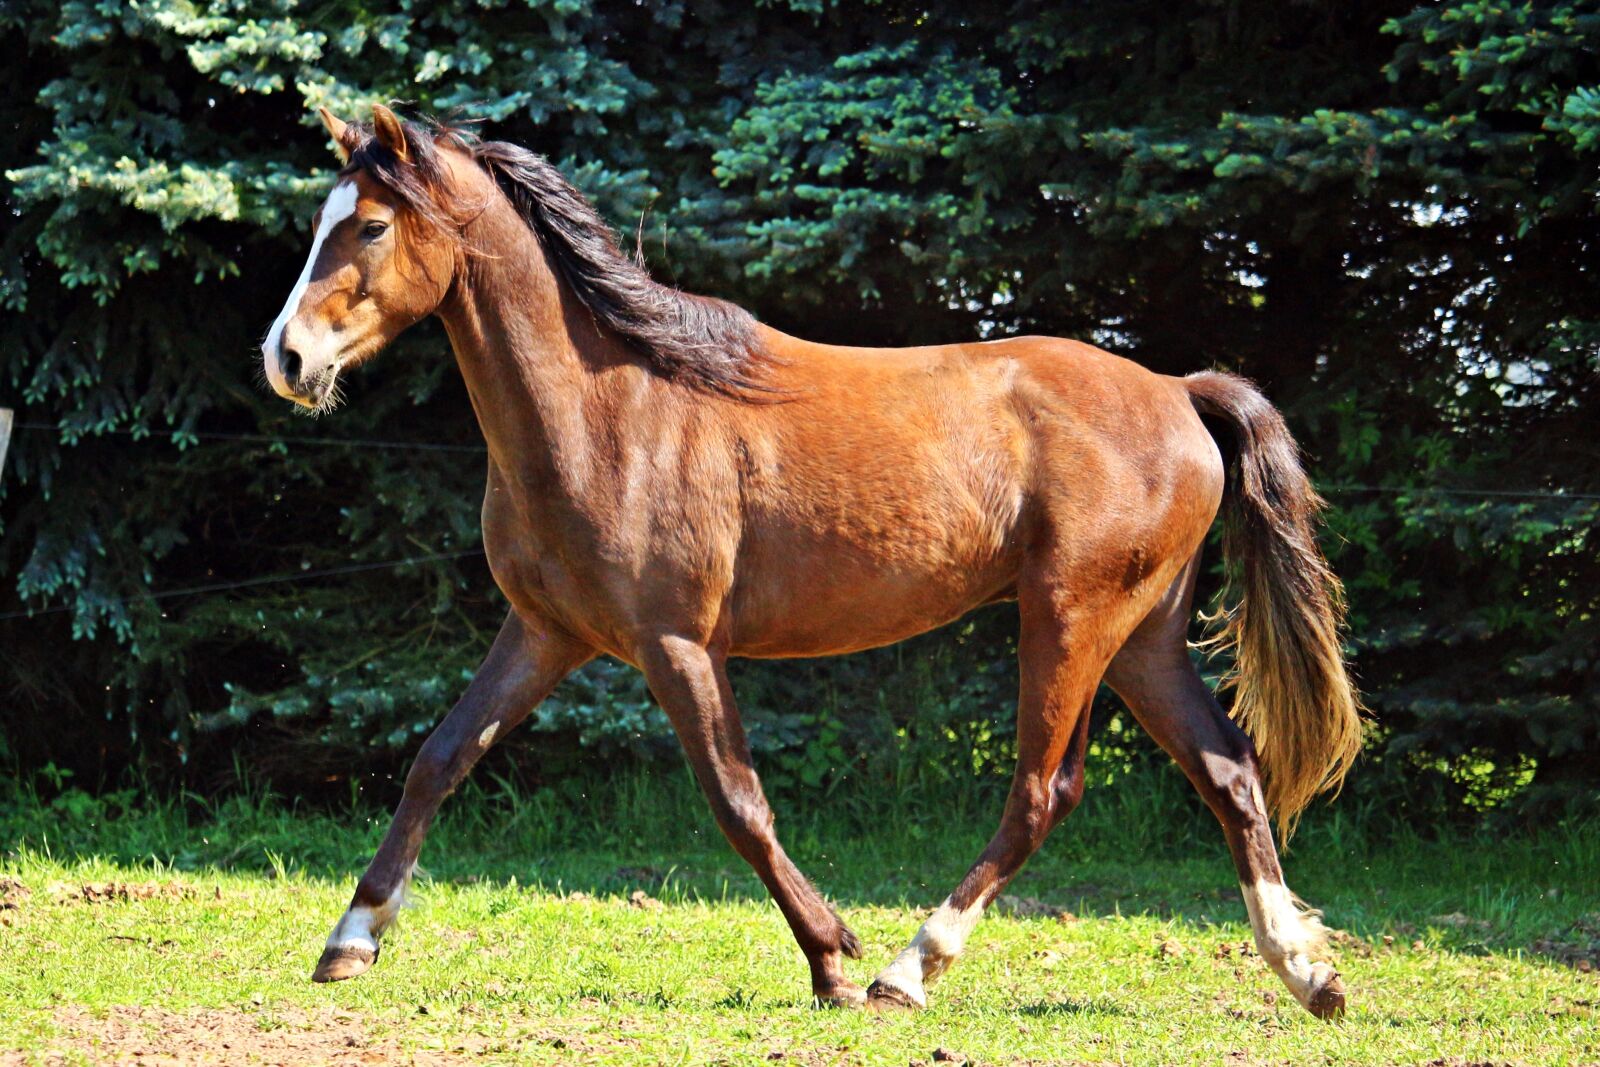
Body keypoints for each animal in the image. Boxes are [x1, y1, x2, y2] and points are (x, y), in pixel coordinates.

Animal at [261, 103, 1362, 1019]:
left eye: (368, 226)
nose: (287, 359)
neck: (609, 409)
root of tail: (1180, 392)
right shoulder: (547, 632)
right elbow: (439, 757)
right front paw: (348, 939)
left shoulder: (676, 642)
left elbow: (739, 801)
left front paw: (832, 956)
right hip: (1140, 636)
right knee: (1227, 766)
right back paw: (1308, 973)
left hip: (1069, 619)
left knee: (1043, 790)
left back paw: (907, 969)